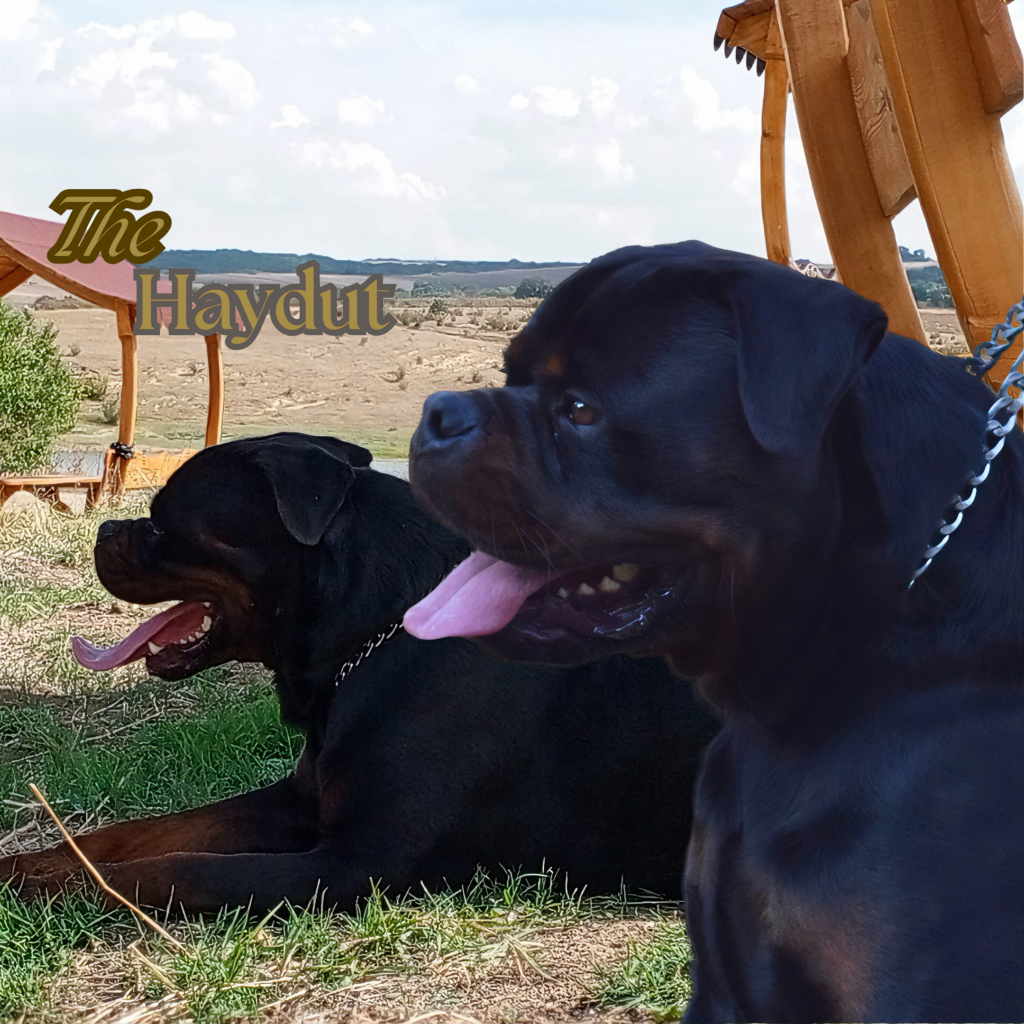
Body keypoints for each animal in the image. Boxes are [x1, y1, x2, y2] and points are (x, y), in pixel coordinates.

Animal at [0, 432, 721, 913]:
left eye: (161, 523)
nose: (104, 532)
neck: (380, 629)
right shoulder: (298, 799)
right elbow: (141, 832)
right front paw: (30, 861)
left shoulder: (359, 862)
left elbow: (171, 869)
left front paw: (50, 883)